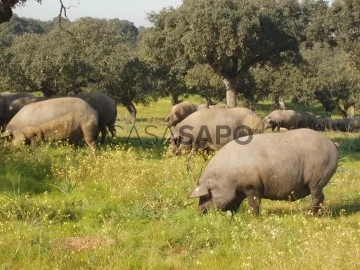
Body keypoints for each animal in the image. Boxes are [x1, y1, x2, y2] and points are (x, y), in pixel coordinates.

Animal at [190, 129, 338, 215]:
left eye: (206, 195)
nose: (199, 212)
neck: (227, 177)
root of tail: (332, 144)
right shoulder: (239, 189)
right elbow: (236, 202)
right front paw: (234, 215)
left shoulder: (252, 186)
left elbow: (254, 203)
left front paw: (253, 217)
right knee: (322, 197)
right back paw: (318, 214)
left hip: (317, 178)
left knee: (317, 196)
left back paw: (310, 215)